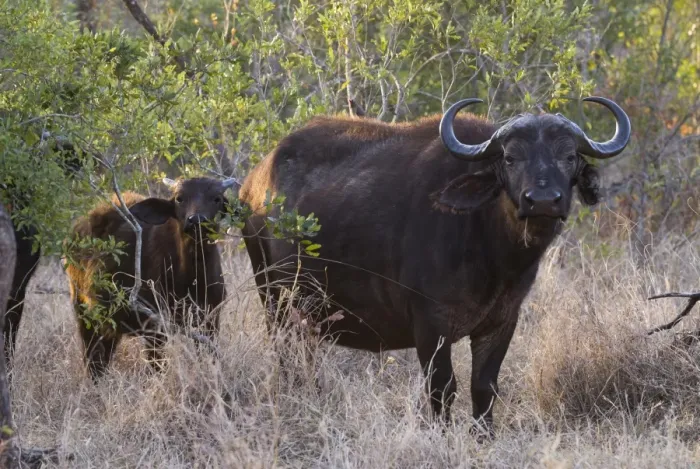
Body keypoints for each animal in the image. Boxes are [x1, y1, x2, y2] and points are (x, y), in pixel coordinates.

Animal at [64, 176, 238, 380]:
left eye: (216, 198)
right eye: (179, 198)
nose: (196, 220)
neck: (192, 277)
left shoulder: (210, 320)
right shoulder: (154, 325)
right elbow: (158, 366)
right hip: (83, 310)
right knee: (93, 358)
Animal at [239, 97, 631, 435]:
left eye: (569, 156)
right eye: (509, 158)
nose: (544, 200)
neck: (492, 253)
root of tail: (253, 184)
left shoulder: (502, 321)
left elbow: (484, 386)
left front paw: (483, 436)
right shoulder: (430, 324)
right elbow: (442, 387)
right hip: (274, 299)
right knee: (288, 357)